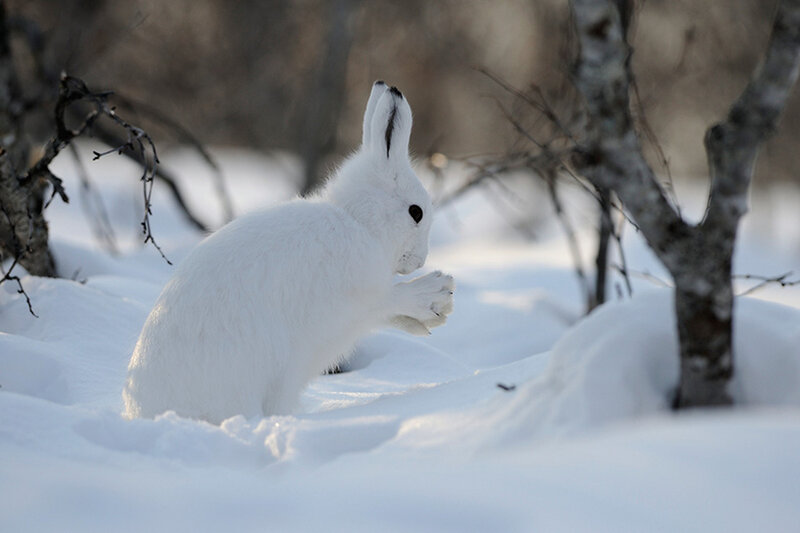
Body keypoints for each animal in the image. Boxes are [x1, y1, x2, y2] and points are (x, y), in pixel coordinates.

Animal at [123, 82, 455, 424]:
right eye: (416, 212)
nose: (420, 260)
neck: (357, 221)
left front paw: (432, 316)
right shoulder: (354, 299)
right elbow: (389, 300)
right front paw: (436, 293)